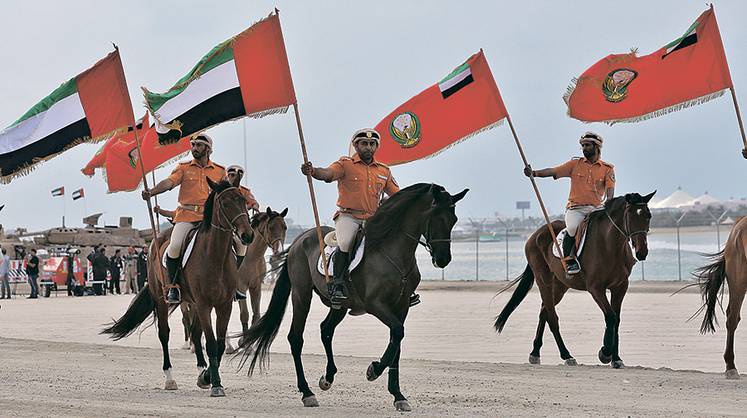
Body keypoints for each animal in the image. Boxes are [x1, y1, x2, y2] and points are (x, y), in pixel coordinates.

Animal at [102, 178, 254, 396]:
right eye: (225, 203)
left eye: (243, 200)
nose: (247, 235)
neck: (214, 256)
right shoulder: (204, 304)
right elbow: (211, 343)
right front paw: (216, 384)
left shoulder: (224, 305)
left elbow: (218, 344)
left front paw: (208, 376)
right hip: (162, 298)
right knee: (165, 334)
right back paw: (170, 378)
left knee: (195, 333)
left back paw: (201, 371)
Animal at [224, 207, 288, 354]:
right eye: (271, 227)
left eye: (285, 227)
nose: (279, 252)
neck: (251, 258)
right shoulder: (241, 287)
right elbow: (245, 314)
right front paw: (243, 342)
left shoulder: (256, 287)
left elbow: (256, 314)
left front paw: (248, 343)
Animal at [237, 184, 468, 412]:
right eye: (436, 217)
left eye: (454, 219)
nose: (443, 259)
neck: (393, 253)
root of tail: (300, 240)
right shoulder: (376, 305)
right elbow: (397, 333)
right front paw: (374, 369)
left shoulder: (402, 307)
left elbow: (397, 342)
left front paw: (398, 395)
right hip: (301, 295)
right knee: (296, 338)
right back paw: (307, 392)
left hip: (339, 305)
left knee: (326, 330)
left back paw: (327, 377)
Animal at [496, 191, 656, 368]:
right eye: (630, 216)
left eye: (648, 216)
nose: (642, 252)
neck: (610, 246)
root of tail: (536, 234)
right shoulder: (596, 288)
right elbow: (610, 317)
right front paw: (605, 353)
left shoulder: (620, 287)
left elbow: (617, 320)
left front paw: (616, 358)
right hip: (544, 280)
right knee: (552, 316)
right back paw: (566, 355)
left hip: (560, 286)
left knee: (544, 311)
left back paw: (535, 353)